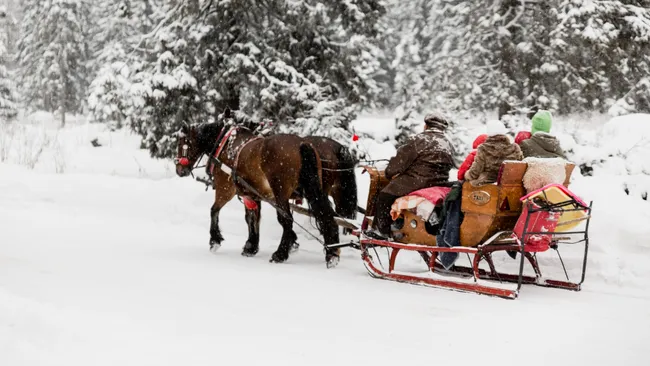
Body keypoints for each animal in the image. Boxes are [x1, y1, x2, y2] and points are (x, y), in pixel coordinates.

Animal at [175, 110, 342, 268]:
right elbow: (252, 218)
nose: (179, 170)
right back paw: (332, 253)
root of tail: (301, 143)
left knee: (287, 219)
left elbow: (214, 210)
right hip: (315, 189)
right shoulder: (252, 194)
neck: (225, 144)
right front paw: (251, 246)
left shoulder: (225, 188)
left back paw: (280, 254)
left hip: (281, 192)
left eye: (182, 143)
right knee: (326, 215)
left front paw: (215, 240)